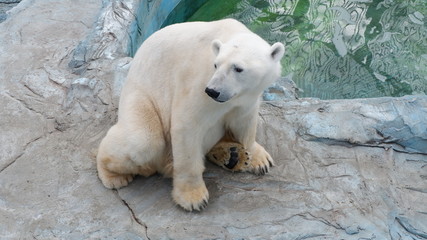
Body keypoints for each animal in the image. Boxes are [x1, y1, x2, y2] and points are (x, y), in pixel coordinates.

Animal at [96, 18, 284, 210]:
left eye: (238, 68)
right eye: (216, 65)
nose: (213, 91)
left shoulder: (246, 97)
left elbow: (244, 122)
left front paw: (259, 160)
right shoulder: (198, 80)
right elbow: (187, 126)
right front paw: (193, 198)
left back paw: (233, 155)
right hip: (140, 99)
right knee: (142, 141)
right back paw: (113, 176)